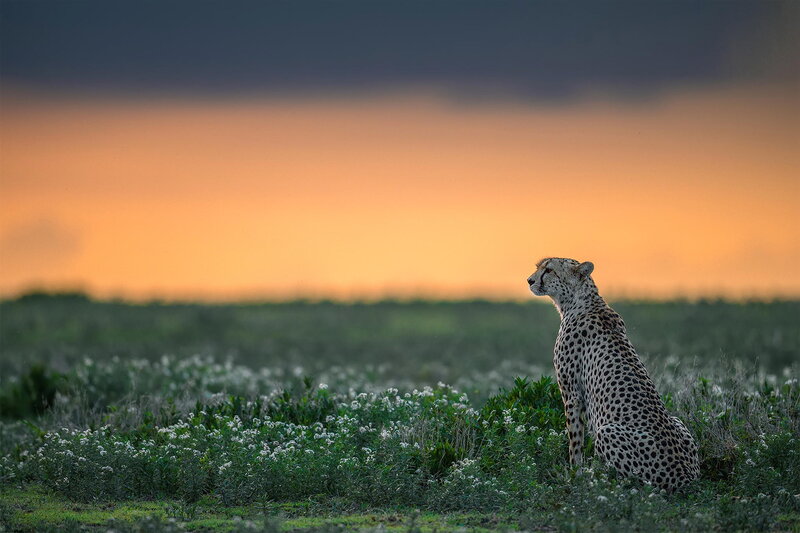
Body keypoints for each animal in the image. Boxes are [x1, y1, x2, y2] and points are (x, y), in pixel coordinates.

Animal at [527, 257, 699, 491]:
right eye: (539, 267)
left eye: (549, 270)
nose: (530, 280)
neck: (581, 300)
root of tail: (687, 478)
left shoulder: (571, 394)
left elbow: (575, 441)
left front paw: (574, 476)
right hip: (678, 421)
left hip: (607, 431)